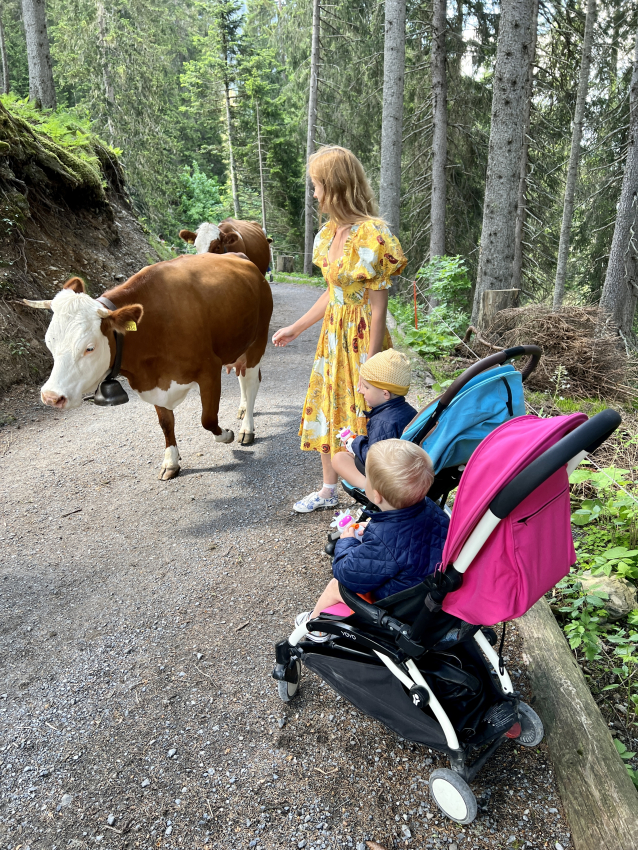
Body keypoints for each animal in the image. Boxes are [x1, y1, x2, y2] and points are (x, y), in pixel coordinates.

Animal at [24, 250, 272, 476]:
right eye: (49, 342)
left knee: (251, 382)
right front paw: (171, 461)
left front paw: (227, 434)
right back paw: (242, 409)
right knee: (242, 376)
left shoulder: (209, 369)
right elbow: (166, 423)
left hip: (258, 340)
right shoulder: (154, 380)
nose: (51, 397)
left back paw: (247, 428)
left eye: (89, 348)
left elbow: (208, 419)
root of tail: (239, 255)